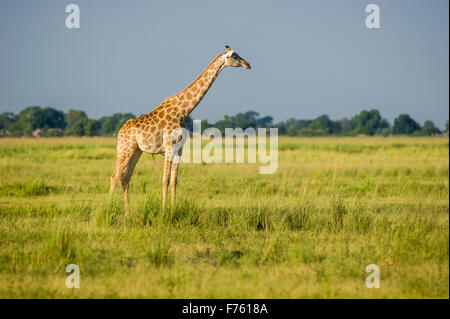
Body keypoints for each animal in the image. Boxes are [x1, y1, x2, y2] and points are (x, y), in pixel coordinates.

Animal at [108, 45, 250, 215]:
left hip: (136, 151)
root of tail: (120, 131)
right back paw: (106, 208)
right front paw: (164, 211)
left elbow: (174, 180)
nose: (248, 64)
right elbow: (165, 180)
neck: (184, 110)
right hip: (125, 149)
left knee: (126, 178)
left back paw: (128, 214)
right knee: (115, 176)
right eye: (234, 56)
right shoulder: (169, 146)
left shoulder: (179, 148)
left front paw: (173, 209)